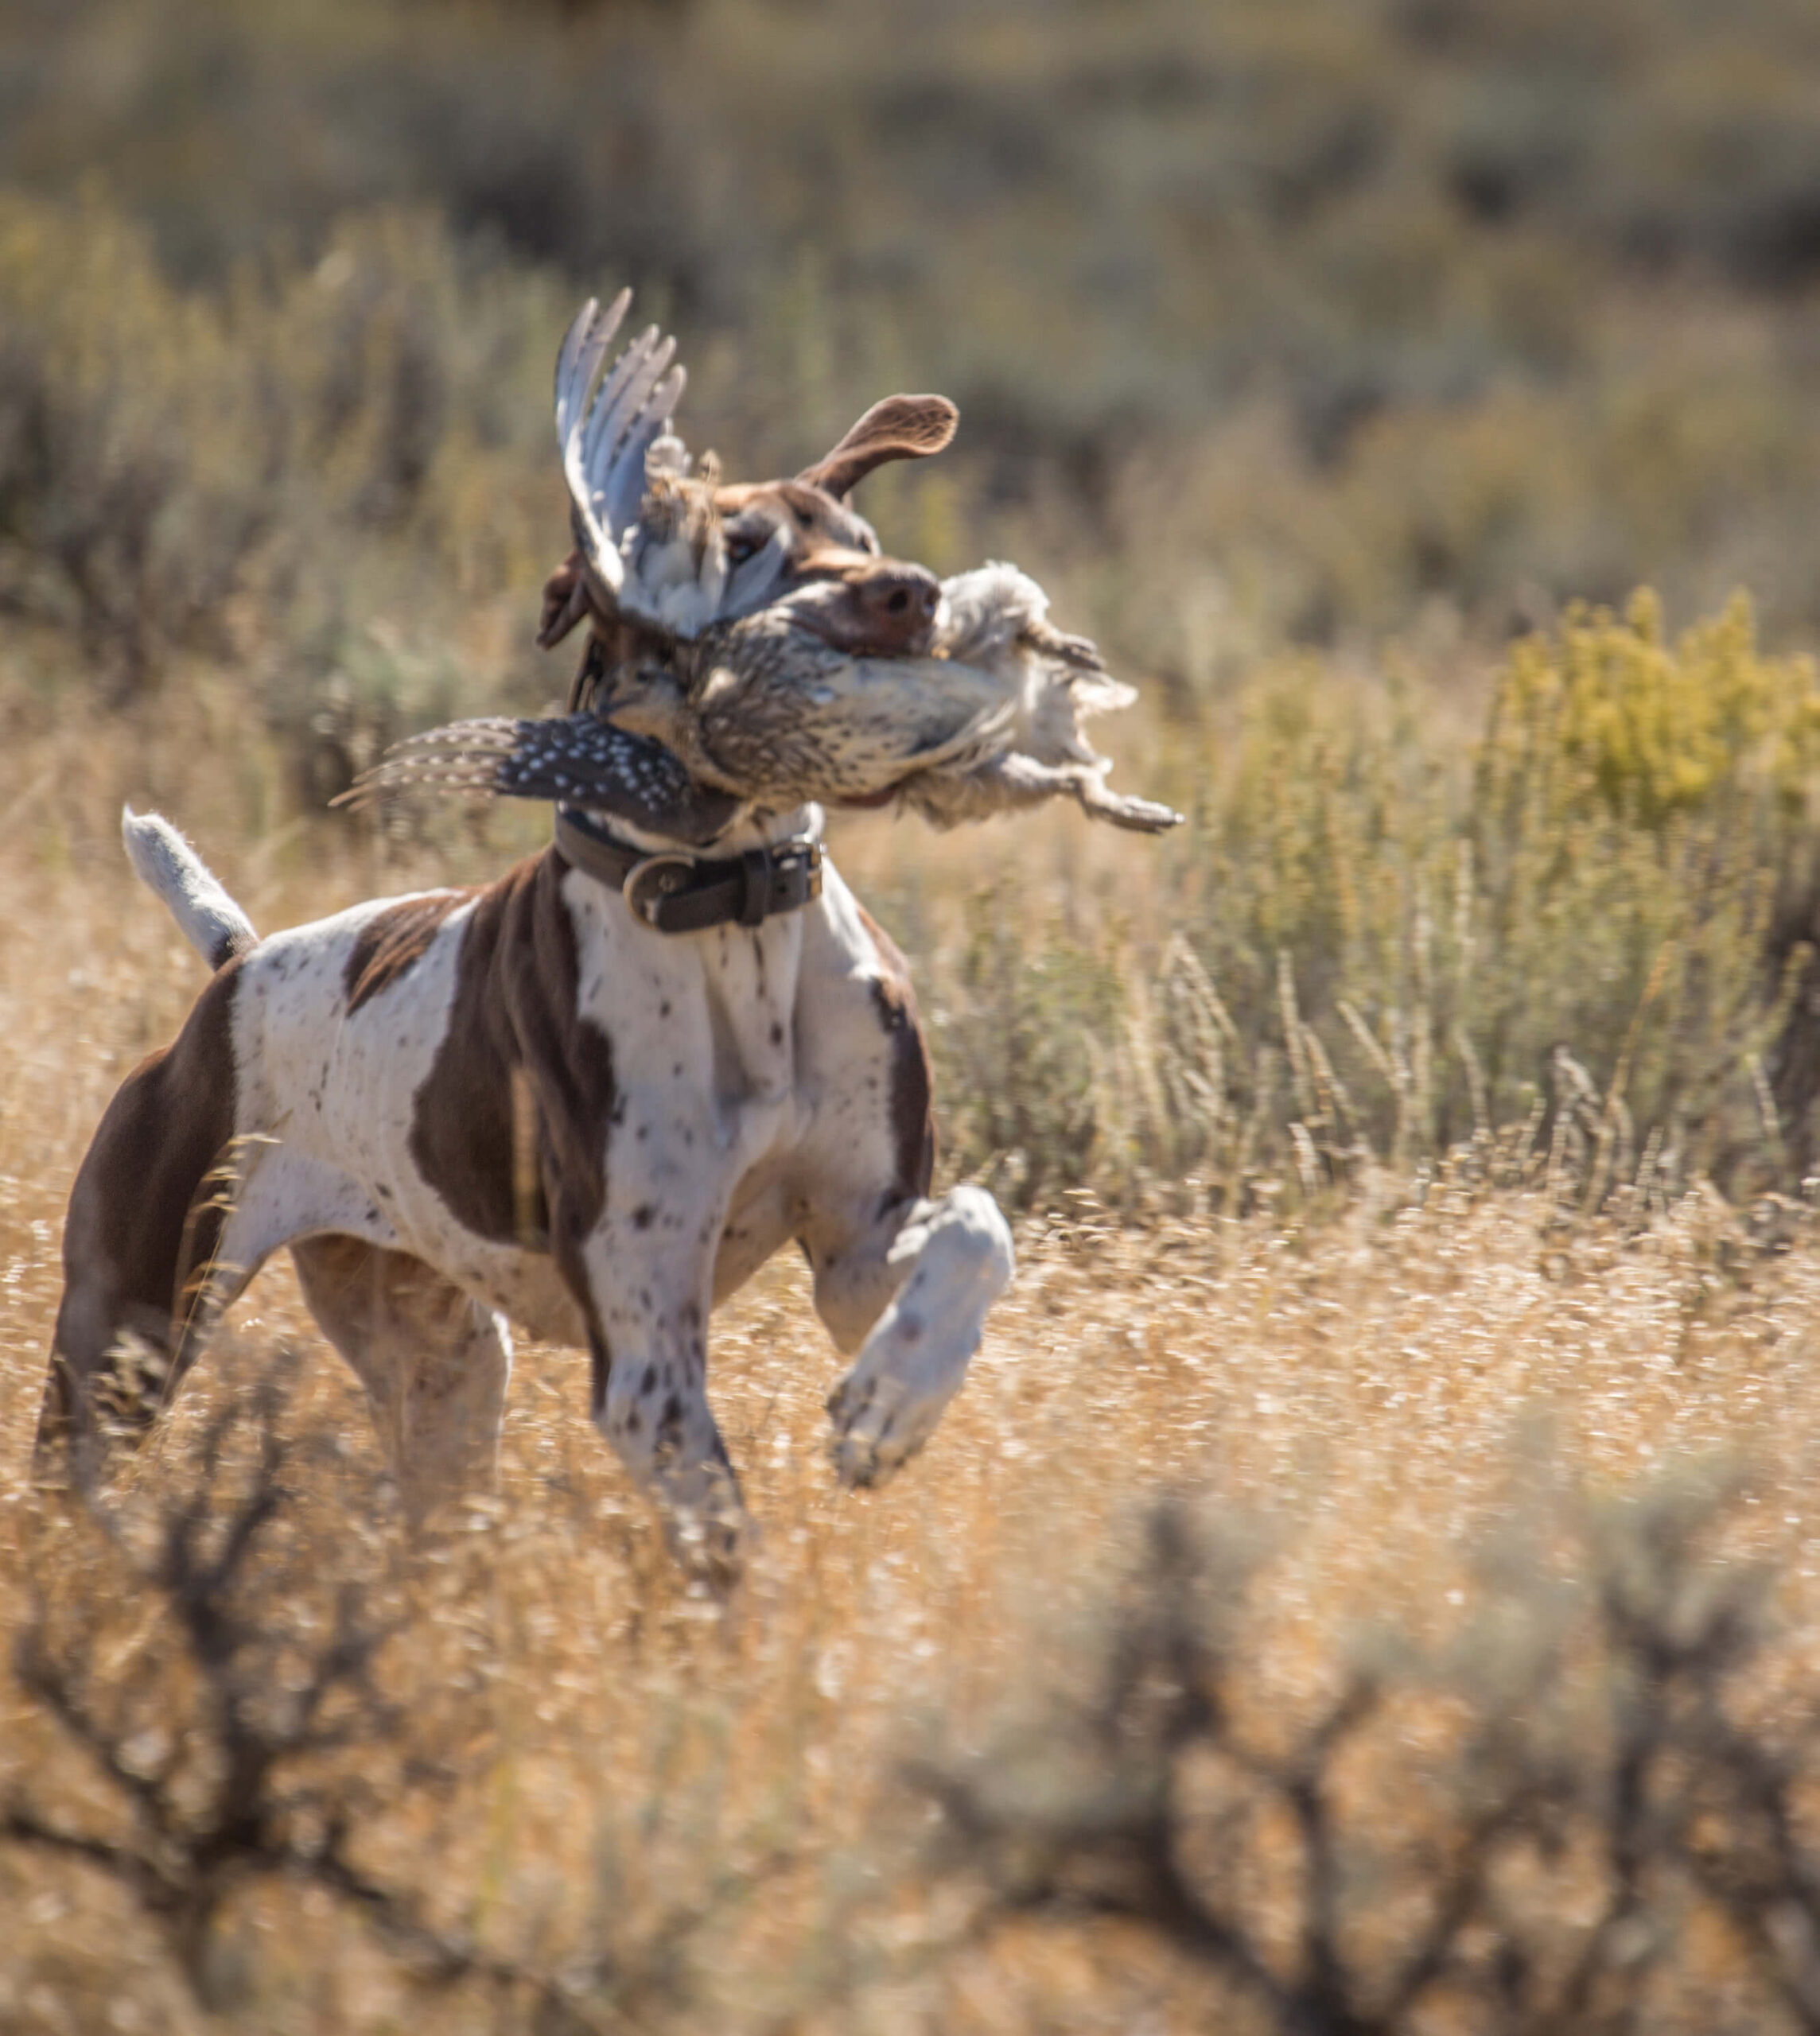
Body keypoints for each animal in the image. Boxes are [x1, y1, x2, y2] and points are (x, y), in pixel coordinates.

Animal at [32, 358, 1025, 1579]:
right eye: (741, 544)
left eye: (863, 534)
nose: (913, 596)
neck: (729, 909)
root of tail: (237, 967)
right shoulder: (645, 1358)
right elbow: (728, 1556)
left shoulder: (857, 1245)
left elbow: (976, 1228)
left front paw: (894, 1400)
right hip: (128, 1337)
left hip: (447, 1373)